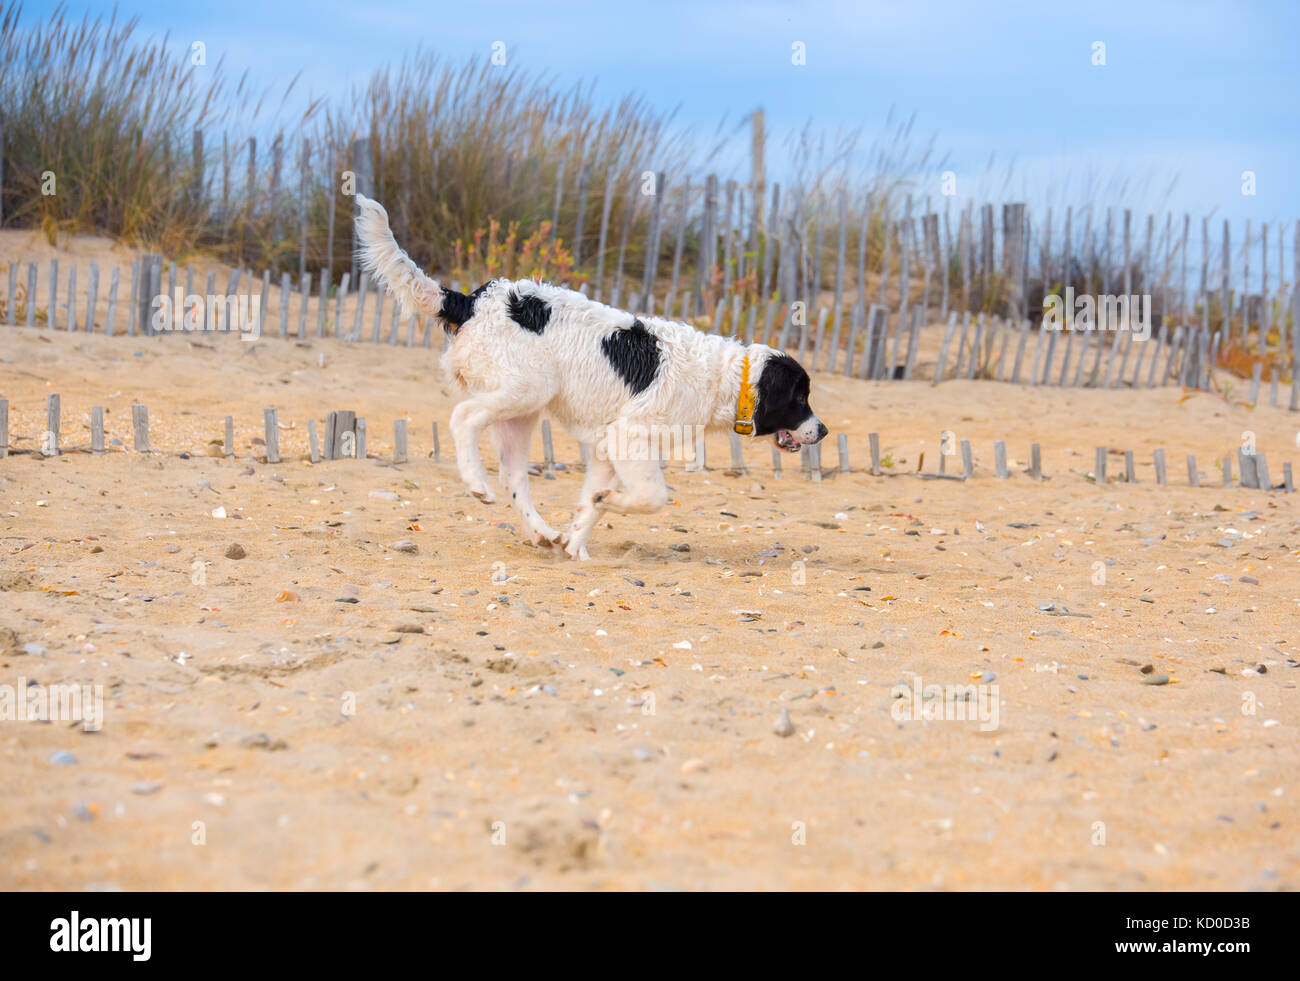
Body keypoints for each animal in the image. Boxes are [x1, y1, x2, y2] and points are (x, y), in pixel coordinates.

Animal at [353, 196, 821, 561]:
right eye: (799, 398)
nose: (824, 430)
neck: (725, 376)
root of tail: (471, 301)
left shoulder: (607, 447)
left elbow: (591, 505)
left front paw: (577, 543)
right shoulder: (630, 436)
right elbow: (653, 497)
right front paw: (606, 503)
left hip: (521, 411)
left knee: (514, 477)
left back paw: (542, 532)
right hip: (524, 391)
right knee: (464, 418)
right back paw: (476, 484)